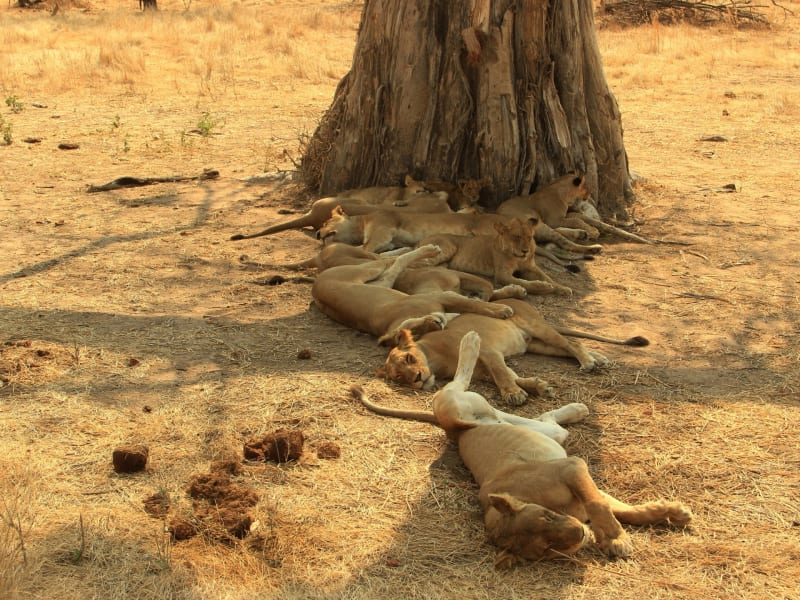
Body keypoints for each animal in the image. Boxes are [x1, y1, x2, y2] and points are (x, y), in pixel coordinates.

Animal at [310, 244, 515, 345]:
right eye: (415, 334)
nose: (436, 323)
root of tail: (316, 284)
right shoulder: (441, 299)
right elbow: (465, 306)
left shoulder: (439, 296)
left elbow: (474, 304)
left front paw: (500, 309)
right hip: (379, 280)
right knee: (393, 264)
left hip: (368, 269)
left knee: (392, 259)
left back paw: (428, 250)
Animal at [352, 331, 692, 567]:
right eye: (547, 549)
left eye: (547, 518)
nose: (579, 534)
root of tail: (451, 430)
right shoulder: (576, 476)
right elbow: (616, 506)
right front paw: (659, 517)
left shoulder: (573, 467)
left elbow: (603, 505)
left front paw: (622, 536)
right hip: (538, 430)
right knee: (547, 420)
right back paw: (577, 410)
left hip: (455, 404)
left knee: (457, 381)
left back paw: (472, 340)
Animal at [379, 298, 649, 405]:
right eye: (399, 377)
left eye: (409, 358)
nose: (416, 378)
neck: (435, 359)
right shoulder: (483, 368)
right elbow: (510, 375)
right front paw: (538, 387)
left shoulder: (488, 350)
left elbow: (502, 374)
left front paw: (514, 395)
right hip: (538, 345)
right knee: (573, 345)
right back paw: (598, 358)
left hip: (539, 328)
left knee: (571, 344)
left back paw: (588, 363)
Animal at [414, 217, 573, 296]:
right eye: (516, 237)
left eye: (529, 237)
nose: (525, 251)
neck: (517, 257)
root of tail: (422, 240)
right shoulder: (502, 274)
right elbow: (523, 282)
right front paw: (542, 287)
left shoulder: (531, 268)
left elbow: (548, 277)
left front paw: (563, 288)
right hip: (447, 247)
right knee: (419, 263)